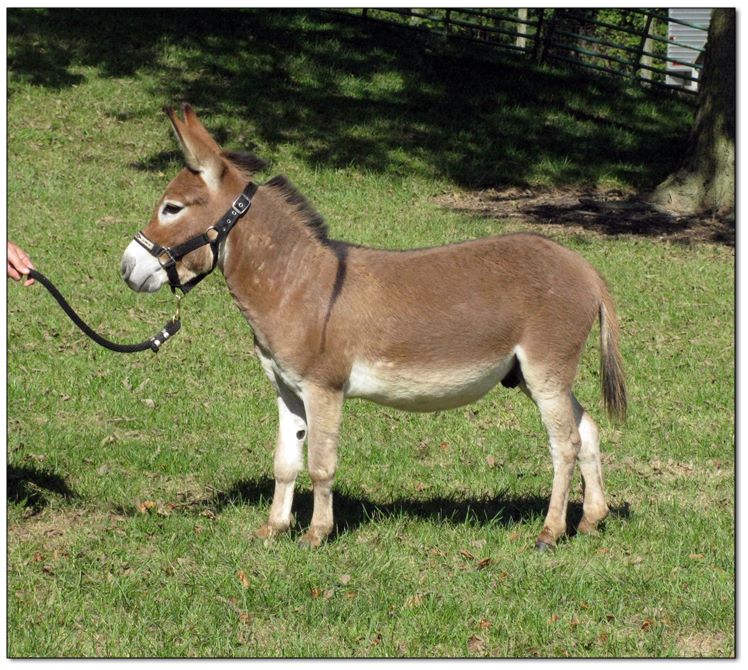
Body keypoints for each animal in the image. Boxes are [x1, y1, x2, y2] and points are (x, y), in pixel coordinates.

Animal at [121, 104, 626, 550]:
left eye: (171, 208)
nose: (127, 268)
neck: (296, 282)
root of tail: (586, 269)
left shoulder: (323, 388)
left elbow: (321, 465)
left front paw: (315, 535)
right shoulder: (287, 389)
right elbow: (285, 462)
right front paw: (273, 529)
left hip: (544, 370)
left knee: (563, 443)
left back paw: (550, 532)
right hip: (532, 375)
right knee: (586, 430)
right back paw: (591, 520)